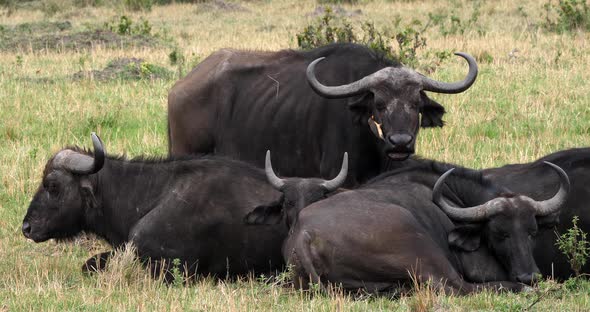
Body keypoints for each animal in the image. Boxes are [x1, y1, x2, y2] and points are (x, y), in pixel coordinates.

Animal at [247, 160, 572, 294]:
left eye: (531, 232)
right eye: (499, 233)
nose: (529, 275)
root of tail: (305, 231)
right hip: (423, 251)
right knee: (457, 287)